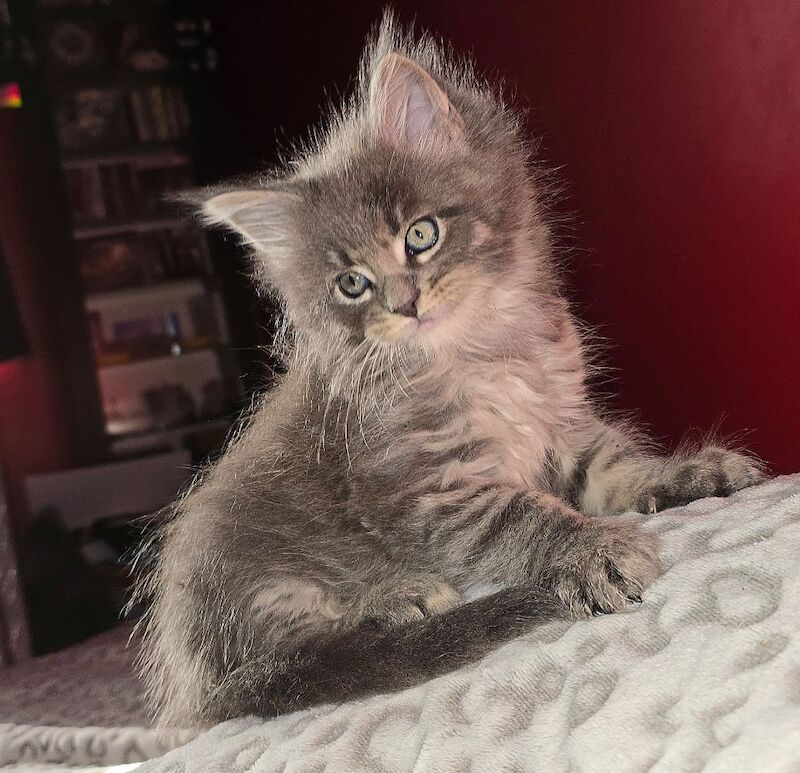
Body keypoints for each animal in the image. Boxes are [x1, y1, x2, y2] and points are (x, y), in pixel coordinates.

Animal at [136, 15, 764, 728]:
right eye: (352, 283)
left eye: (421, 234)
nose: (404, 304)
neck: (488, 347)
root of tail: (196, 687)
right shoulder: (429, 485)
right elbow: (520, 520)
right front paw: (590, 553)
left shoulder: (561, 428)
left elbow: (620, 470)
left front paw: (693, 473)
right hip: (257, 583)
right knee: (301, 661)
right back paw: (395, 598)